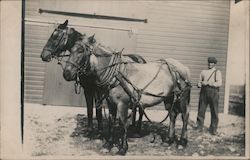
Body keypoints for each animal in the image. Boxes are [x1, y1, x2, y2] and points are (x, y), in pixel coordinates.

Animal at [63, 33, 191, 155]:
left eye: (81, 51)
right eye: (71, 49)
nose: (66, 73)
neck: (116, 74)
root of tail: (183, 67)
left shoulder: (122, 104)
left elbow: (123, 124)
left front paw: (123, 148)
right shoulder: (111, 103)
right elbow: (111, 122)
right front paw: (108, 144)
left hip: (182, 97)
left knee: (185, 115)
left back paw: (182, 142)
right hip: (169, 98)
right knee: (173, 115)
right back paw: (169, 140)